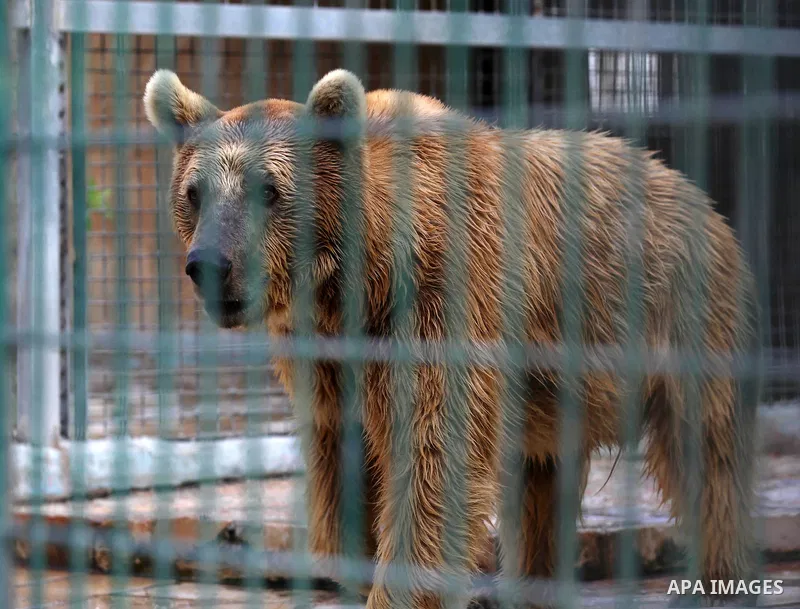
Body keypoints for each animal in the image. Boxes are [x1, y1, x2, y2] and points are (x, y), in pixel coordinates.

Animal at [143, 68, 761, 609]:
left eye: (267, 189)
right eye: (195, 192)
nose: (210, 265)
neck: (358, 280)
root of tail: (695, 192)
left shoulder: (446, 298)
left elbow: (436, 453)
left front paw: (399, 591)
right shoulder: (327, 356)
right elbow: (342, 456)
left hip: (679, 314)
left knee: (704, 455)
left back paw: (719, 578)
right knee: (542, 479)